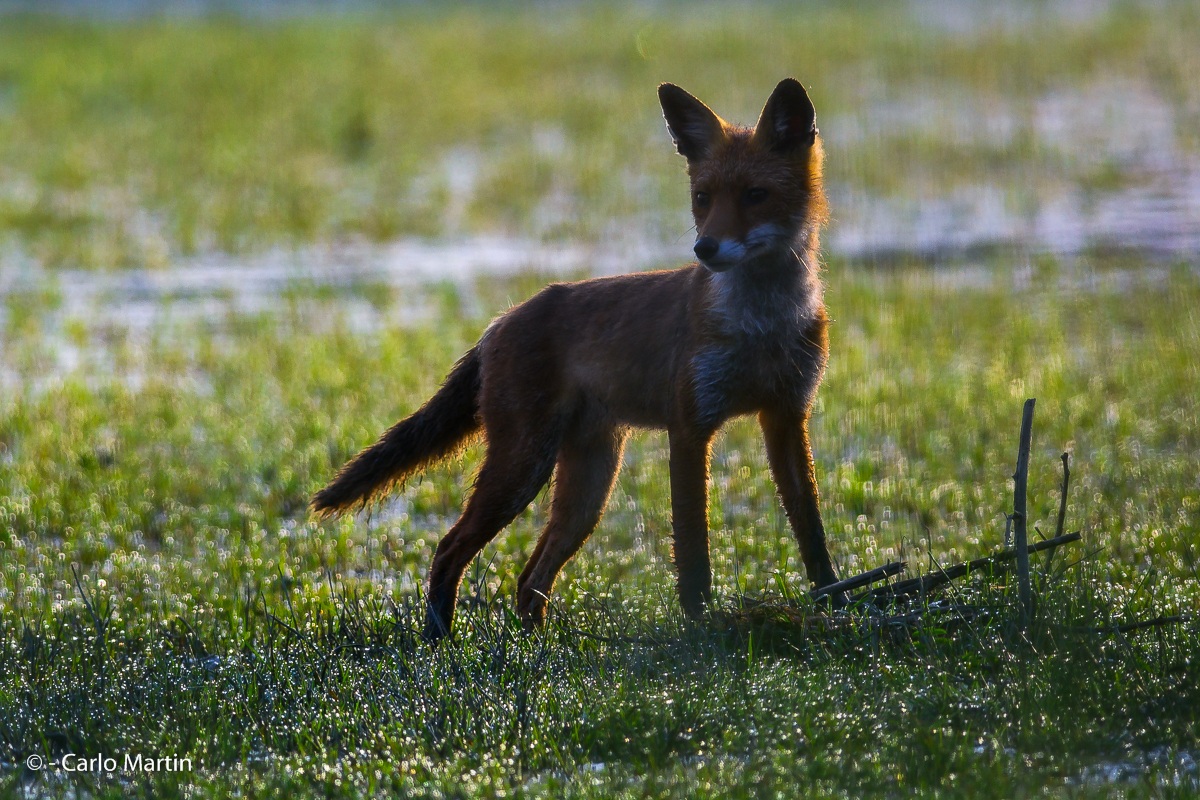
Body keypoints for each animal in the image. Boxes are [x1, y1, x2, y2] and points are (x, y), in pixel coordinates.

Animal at [312, 78, 839, 641]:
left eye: (755, 195)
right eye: (703, 198)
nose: (706, 248)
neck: (762, 327)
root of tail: (500, 321)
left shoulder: (786, 415)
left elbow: (811, 529)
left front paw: (835, 602)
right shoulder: (691, 426)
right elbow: (694, 548)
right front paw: (701, 628)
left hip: (587, 487)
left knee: (529, 579)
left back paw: (534, 648)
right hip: (524, 466)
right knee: (450, 548)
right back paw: (439, 642)